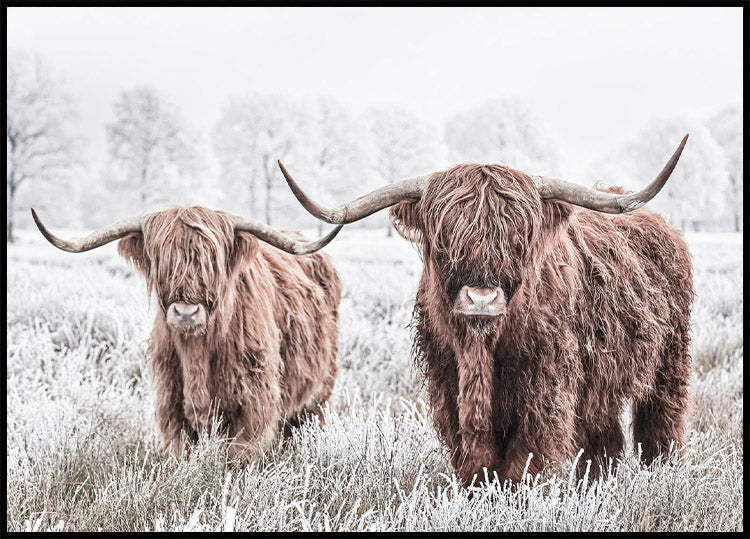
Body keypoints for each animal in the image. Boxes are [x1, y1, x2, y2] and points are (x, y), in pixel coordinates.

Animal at [33, 207, 344, 460]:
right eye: (162, 261)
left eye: (211, 262)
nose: (185, 313)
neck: (197, 353)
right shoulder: (171, 406)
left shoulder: (253, 405)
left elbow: (239, 458)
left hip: (319, 393)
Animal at [280, 134, 692, 486]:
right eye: (445, 240)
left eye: (519, 240)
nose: (481, 300)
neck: (482, 351)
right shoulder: (449, 389)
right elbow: (476, 462)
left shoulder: (544, 394)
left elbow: (522, 462)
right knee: (604, 438)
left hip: (669, 362)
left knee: (660, 426)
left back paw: (661, 474)